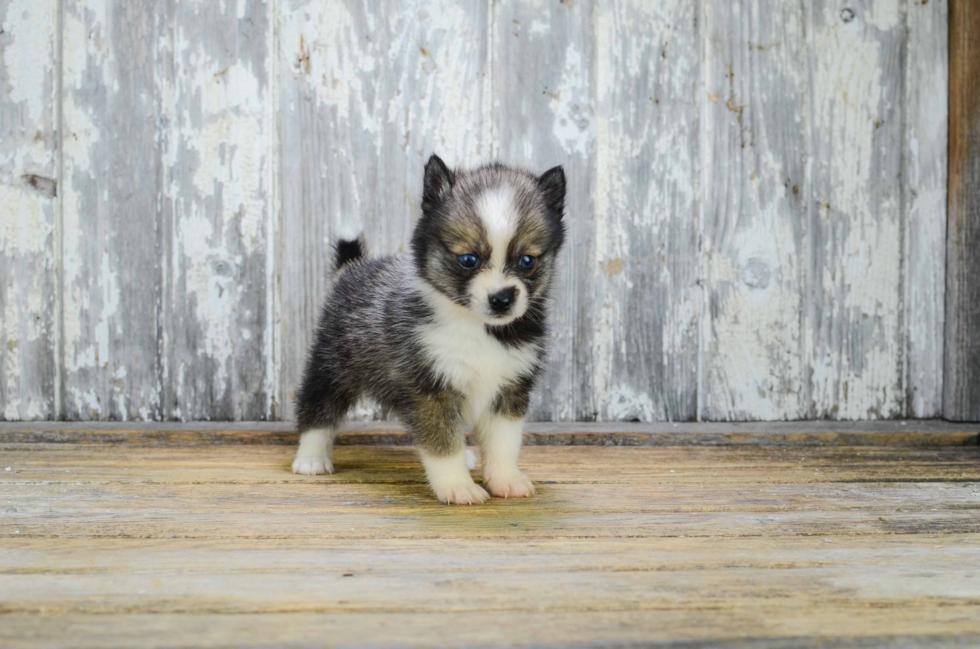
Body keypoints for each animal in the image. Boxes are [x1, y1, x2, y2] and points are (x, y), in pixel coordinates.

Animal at [290, 154, 568, 504]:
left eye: (527, 261)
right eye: (468, 260)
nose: (502, 298)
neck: (477, 327)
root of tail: (351, 268)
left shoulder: (510, 388)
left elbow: (504, 442)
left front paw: (506, 479)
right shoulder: (429, 388)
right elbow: (442, 443)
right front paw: (457, 485)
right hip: (333, 364)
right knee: (318, 406)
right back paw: (311, 457)